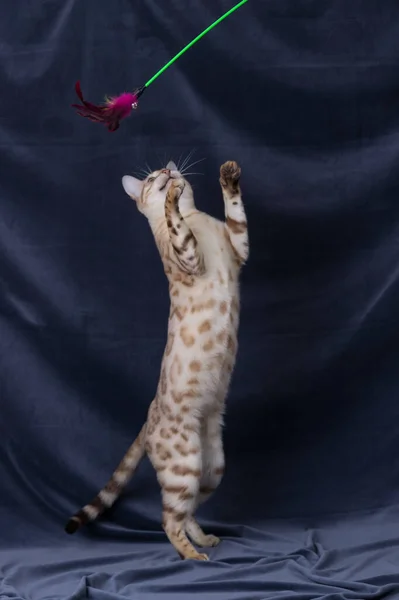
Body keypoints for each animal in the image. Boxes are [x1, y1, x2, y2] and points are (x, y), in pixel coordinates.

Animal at [64, 161, 248, 564]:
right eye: (150, 178)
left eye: (164, 167)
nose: (167, 170)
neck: (198, 217)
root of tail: (149, 416)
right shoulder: (188, 259)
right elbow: (175, 222)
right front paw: (171, 199)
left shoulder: (239, 249)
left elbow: (236, 212)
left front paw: (227, 176)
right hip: (185, 466)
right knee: (168, 519)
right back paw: (193, 557)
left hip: (212, 467)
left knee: (188, 512)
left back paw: (204, 540)